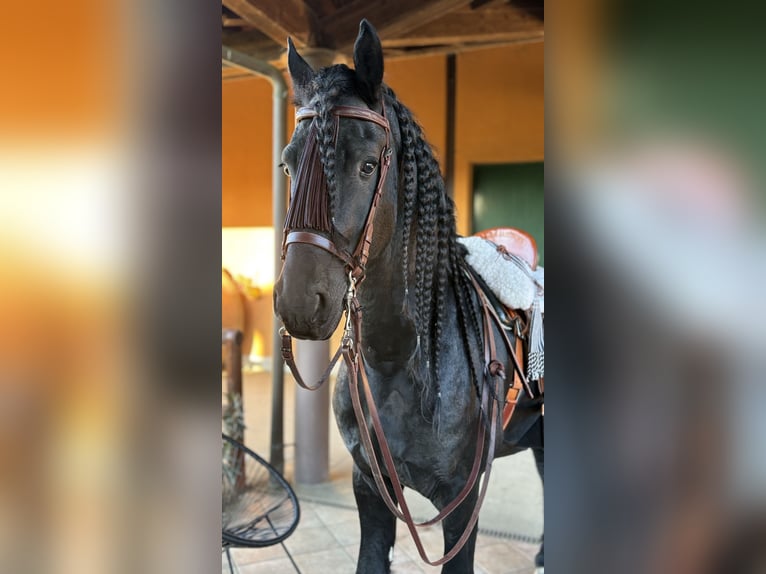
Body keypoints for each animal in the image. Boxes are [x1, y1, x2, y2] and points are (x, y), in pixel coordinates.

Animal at [273, 20, 544, 574]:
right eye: (288, 166)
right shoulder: (371, 489)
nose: (299, 303)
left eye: (367, 165)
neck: (404, 359)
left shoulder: (460, 510)